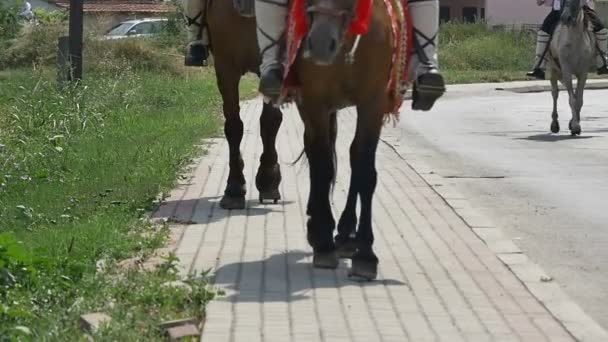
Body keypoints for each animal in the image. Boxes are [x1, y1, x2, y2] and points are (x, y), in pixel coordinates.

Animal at [548, 0, 592, 135]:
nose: (565, 18)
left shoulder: (583, 73)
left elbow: (579, 99)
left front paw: (574, 124)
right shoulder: (566, 71)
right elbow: (572, 99)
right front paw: (576, 126)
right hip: (553, 70)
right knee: (555, 93)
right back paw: (554, 124)